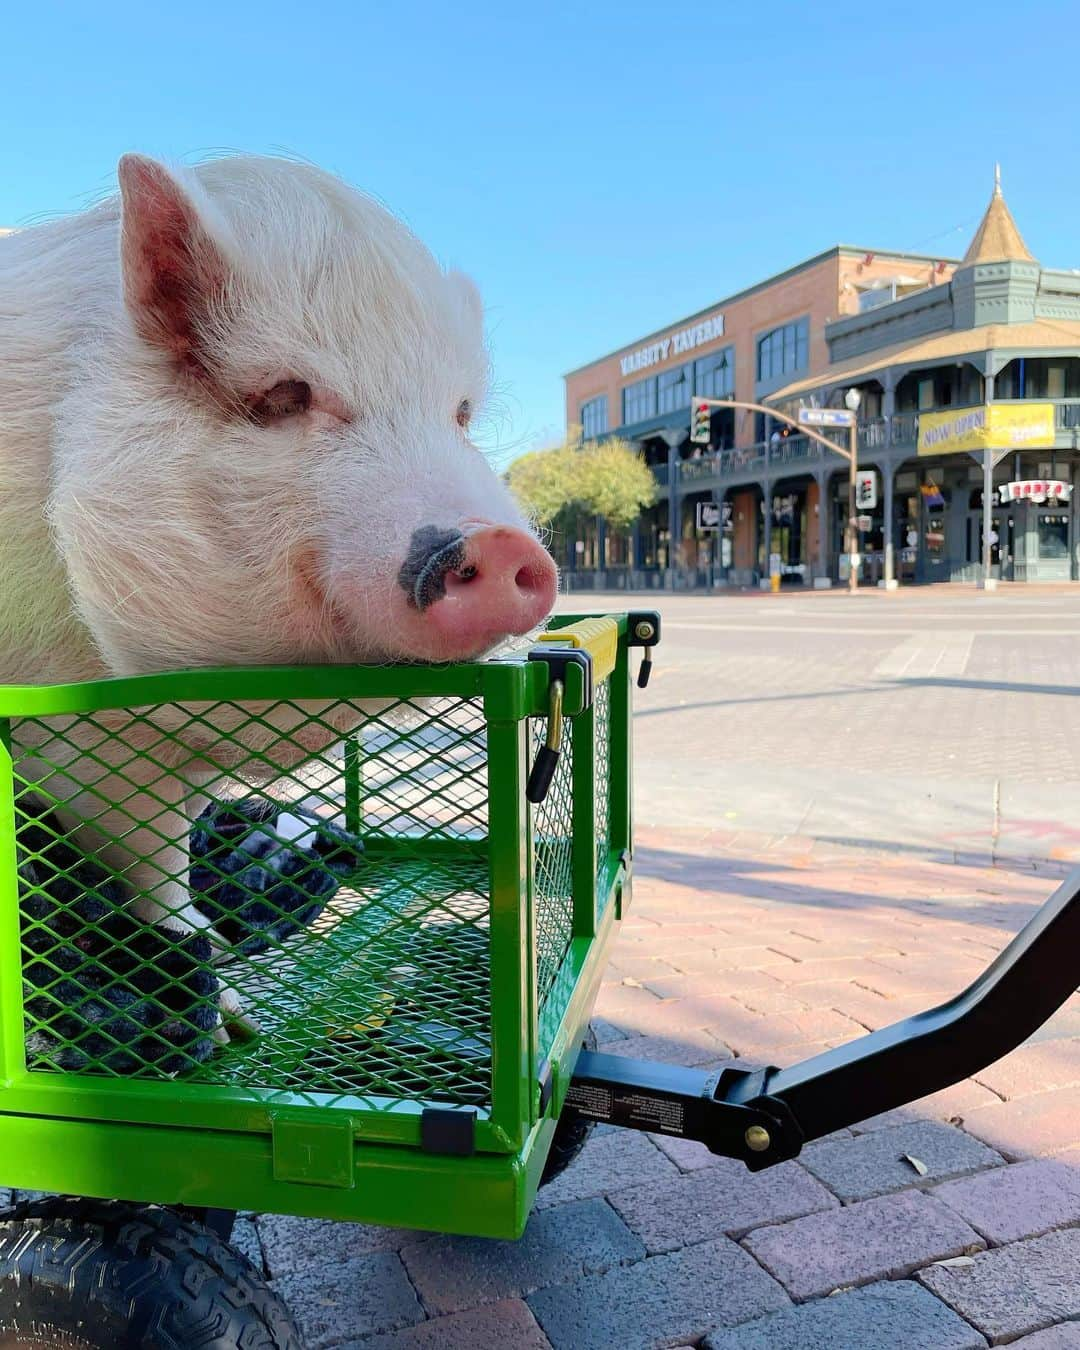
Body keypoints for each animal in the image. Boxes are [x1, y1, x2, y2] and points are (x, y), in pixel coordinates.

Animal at [0, 150, 556, 1031]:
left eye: (461, 414)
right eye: (285, 395)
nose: (502, 546)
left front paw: (235, 1015)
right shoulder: (82, 741)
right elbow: (146, 869)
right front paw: (228, 1022)